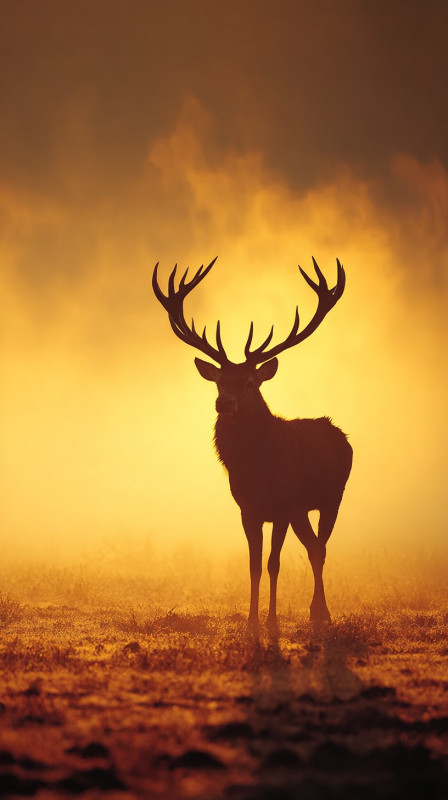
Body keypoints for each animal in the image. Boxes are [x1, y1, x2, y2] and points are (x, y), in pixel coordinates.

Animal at [152, 257, 352, 631]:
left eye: (248, 381)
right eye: (218, 381)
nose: (224, 403)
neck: (258, 470)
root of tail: (339, 433)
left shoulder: (283, 506)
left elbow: (274, 563)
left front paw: (271, 622)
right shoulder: (248, 510)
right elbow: (254, 565)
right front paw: (251, 623)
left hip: (332, 498)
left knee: (320, 549)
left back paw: (321, 613)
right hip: (303, 510)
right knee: (313, 547)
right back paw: (315, 611)